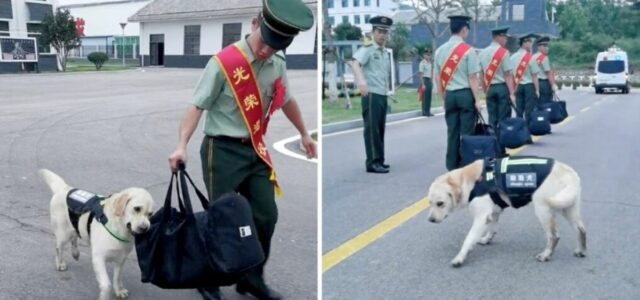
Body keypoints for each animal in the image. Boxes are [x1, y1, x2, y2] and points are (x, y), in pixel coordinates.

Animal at [40, 170, 155, 298]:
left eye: (150, 214)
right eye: (137, 208)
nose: (145, 228)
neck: (120, 228)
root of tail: (65, 188)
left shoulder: (121, 259)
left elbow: (117, 278)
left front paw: (119, 290)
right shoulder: (98, 258)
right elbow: (106, 284)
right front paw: (105, 296)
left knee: (74, 237)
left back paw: (75, 253)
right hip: (63, 233)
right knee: (59, 248)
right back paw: (60, 263)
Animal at [428, 157, 588, 268]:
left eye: (440, 203)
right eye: (430, 203)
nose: (430, 220)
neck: (470, 181)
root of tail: (570, 173)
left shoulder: (480, 217)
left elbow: (468, 239)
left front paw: (460, 258)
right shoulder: (493, 213)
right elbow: (492, 229)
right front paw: (487, 239)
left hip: (543, 209)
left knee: (554, 235)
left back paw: (546, 255)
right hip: (568, 207)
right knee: (581, 229)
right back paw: (581, 250)